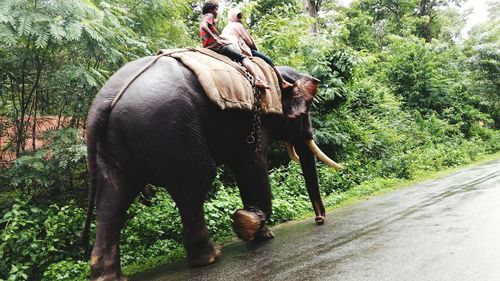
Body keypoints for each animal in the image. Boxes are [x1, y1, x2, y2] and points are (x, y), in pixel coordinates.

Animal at [82, 53, 340, 280]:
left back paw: (109, 276)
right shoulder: (255, 119)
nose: (319, 220)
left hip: (116, 147)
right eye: (304, 113)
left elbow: (243, 166)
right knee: (197, 177)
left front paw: (256, 228)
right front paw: (251, 224)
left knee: (112, 199)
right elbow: (252, 164)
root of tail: (102, 104)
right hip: (169, 129)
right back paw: (209, 256)